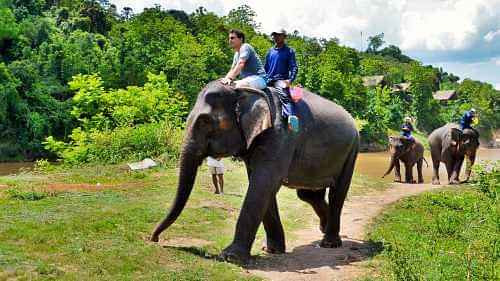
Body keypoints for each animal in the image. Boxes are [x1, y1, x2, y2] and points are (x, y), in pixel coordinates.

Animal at [148, 80, 360, 262]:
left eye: (205, 122)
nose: (154, 239)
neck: (243, 91)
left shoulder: (280, 135)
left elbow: (263, 183)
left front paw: (230, 257)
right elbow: (261, 185)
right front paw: (272, 250)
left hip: (351, 150)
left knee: (337, 193)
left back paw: (329, 243)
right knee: (308, 195)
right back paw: (323, 227)